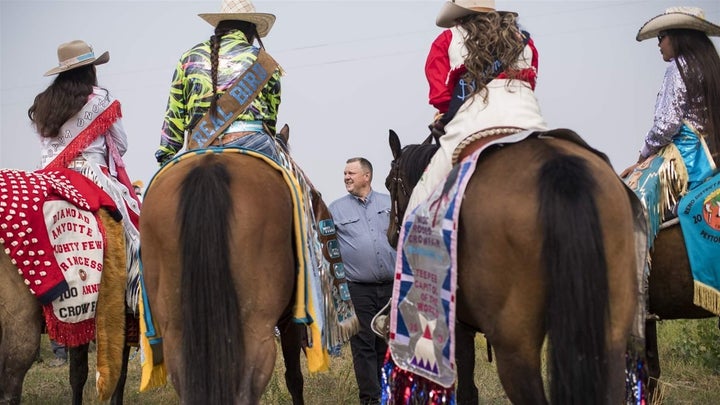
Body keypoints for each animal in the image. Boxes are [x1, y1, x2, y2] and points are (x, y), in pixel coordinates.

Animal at [386, 129, 644, 404]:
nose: (391, 235)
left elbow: (467, 389)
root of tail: (559, 168)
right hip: (610, 337)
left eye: (389, 183)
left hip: (515, 349)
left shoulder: (458, 326)